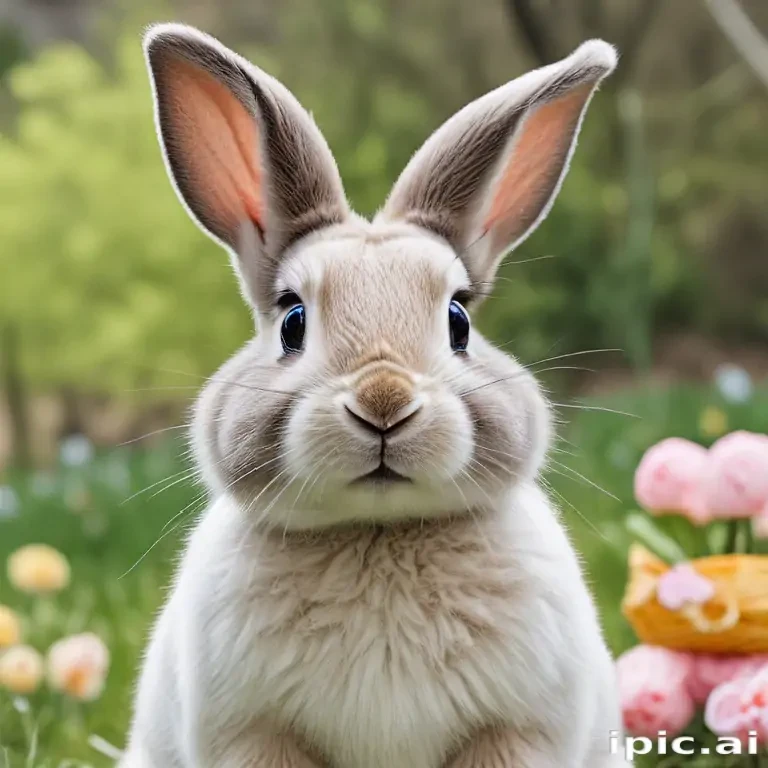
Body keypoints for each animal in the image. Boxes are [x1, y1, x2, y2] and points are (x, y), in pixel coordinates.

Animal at [121, 22, 627, 768]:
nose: (383, 400)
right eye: (293, 321)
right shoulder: (253, 735)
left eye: (459, 321)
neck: (378, 532)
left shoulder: (515, 732)